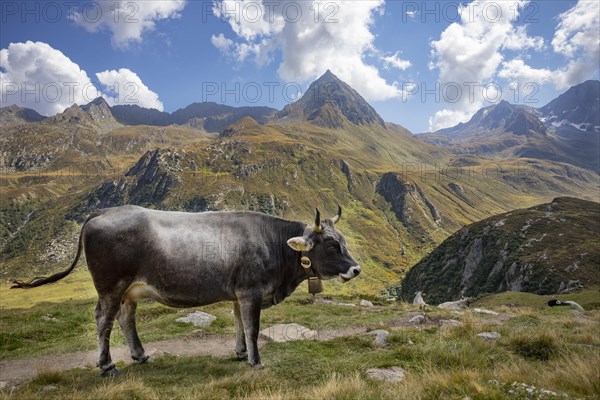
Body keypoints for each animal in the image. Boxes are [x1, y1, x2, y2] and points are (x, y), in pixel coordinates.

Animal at [12, 205, 360, 376]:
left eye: (343, 239)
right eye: (331, 245)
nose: (357, 269)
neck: (272, 242)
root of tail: (103, 212)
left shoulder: (239, 294)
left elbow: (239, 324)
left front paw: (240, 353)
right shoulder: (251, 292)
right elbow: (252, 328)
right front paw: (256, 361)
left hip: (129, 290)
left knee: (125, 318)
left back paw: (140, 355)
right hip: (110, 286)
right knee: (103, 320)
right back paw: (107, 365)